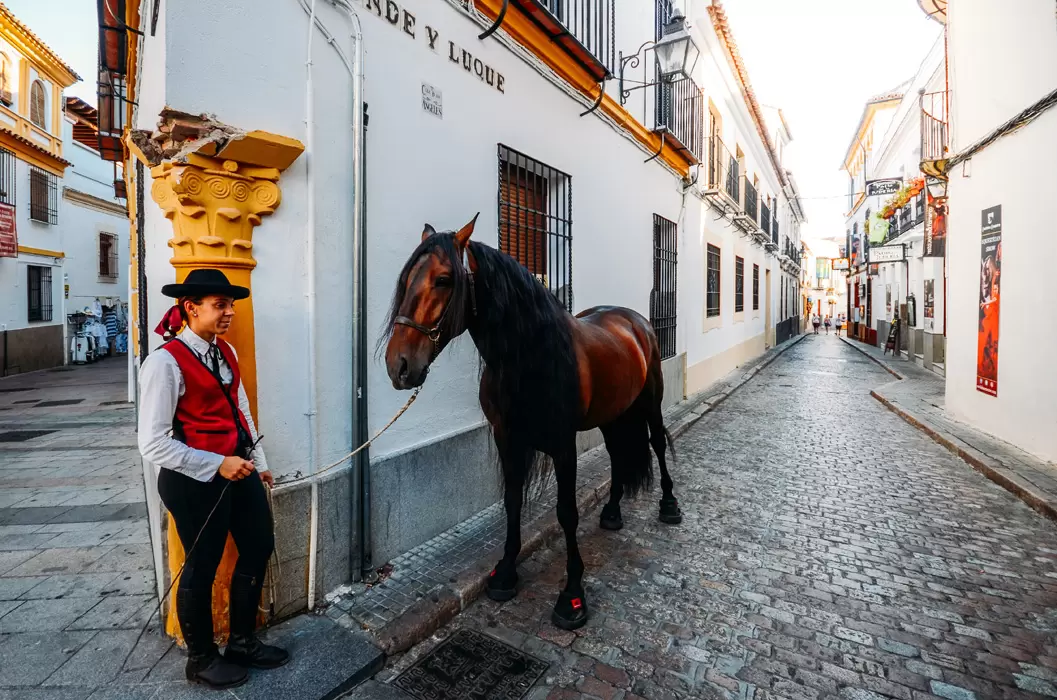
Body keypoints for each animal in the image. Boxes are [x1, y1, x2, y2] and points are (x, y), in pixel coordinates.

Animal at [384, 212, 680, 630]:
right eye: (406, 279)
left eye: (443, 279)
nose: (399, 365)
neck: (527, 356)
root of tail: (635, 320)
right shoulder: (507, 438)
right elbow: (511, 501)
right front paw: (506, 572)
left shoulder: (563, 445)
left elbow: (566, 513)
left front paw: (572, 596)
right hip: (612, 413)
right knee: (617, 453)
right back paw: (611, 512)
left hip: (650, 401)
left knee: (656, 442)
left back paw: (669, 504)